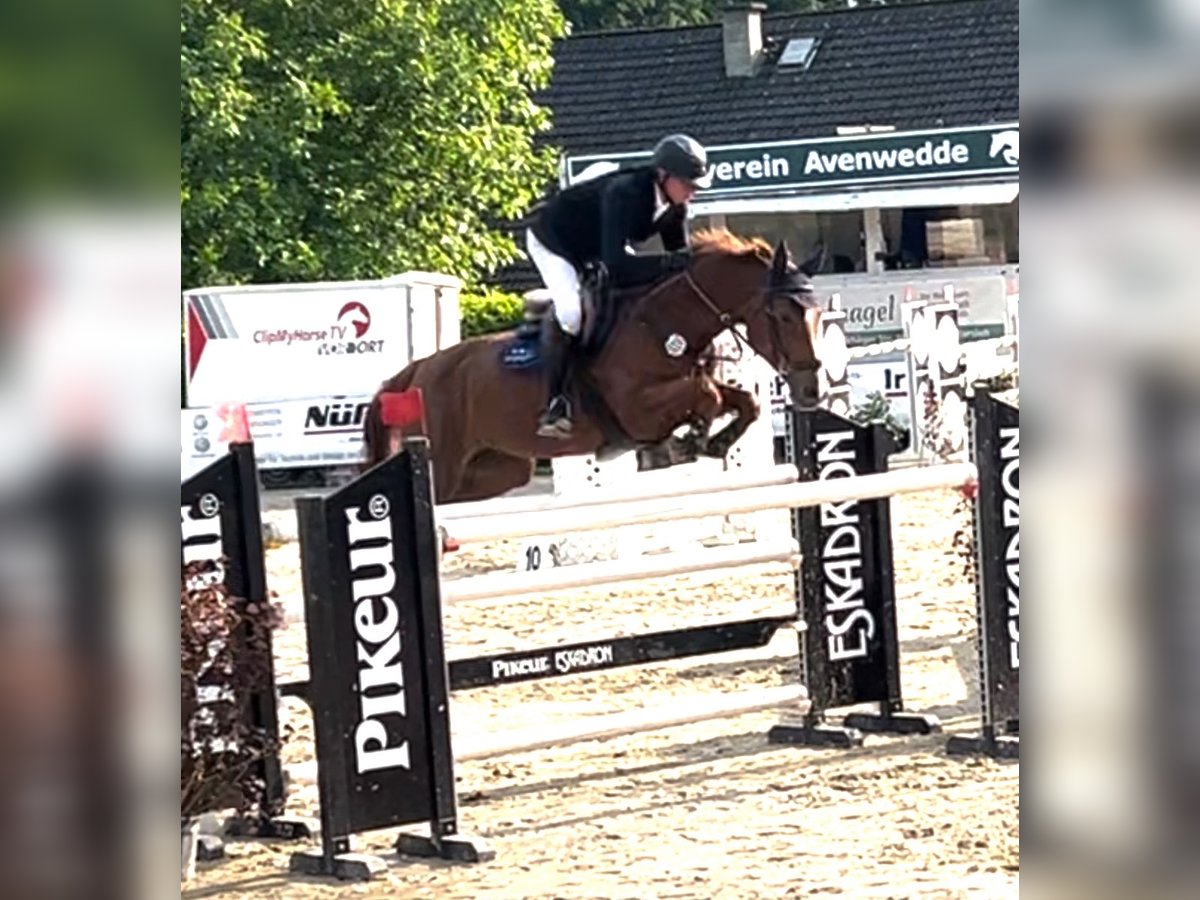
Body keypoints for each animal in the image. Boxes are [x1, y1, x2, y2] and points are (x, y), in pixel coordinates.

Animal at [360, 229, 820, 504]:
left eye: (816, 314)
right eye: (782, 316)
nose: (811, 391)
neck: (661, 323)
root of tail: (417, 370)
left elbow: (744, 402)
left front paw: (716, 442)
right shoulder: (637, 410)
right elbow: (704, 396)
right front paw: (688, 441)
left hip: (500, 467)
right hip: (445, 458)